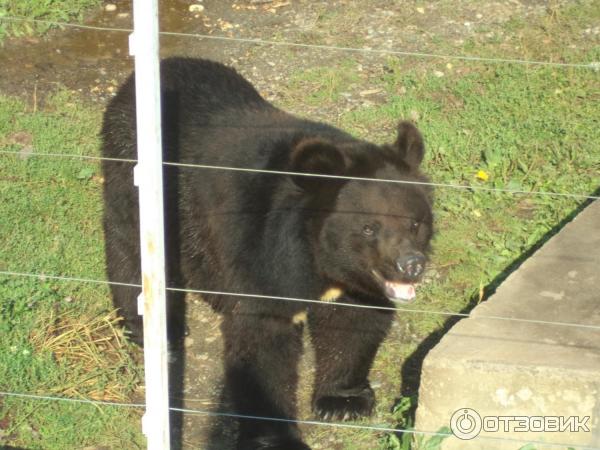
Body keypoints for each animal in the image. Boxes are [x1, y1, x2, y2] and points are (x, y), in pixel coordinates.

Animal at [101, 58, 434, 448]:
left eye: (416, 223)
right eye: (369, 227)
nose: (410, 265)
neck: (316, 257)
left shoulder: (353, 281)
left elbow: (353, 320)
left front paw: (343, 401)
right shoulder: (260, 244)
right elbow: (264, 339)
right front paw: (276, 434)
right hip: (136, 172)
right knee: (130, 246)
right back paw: (152, 327)